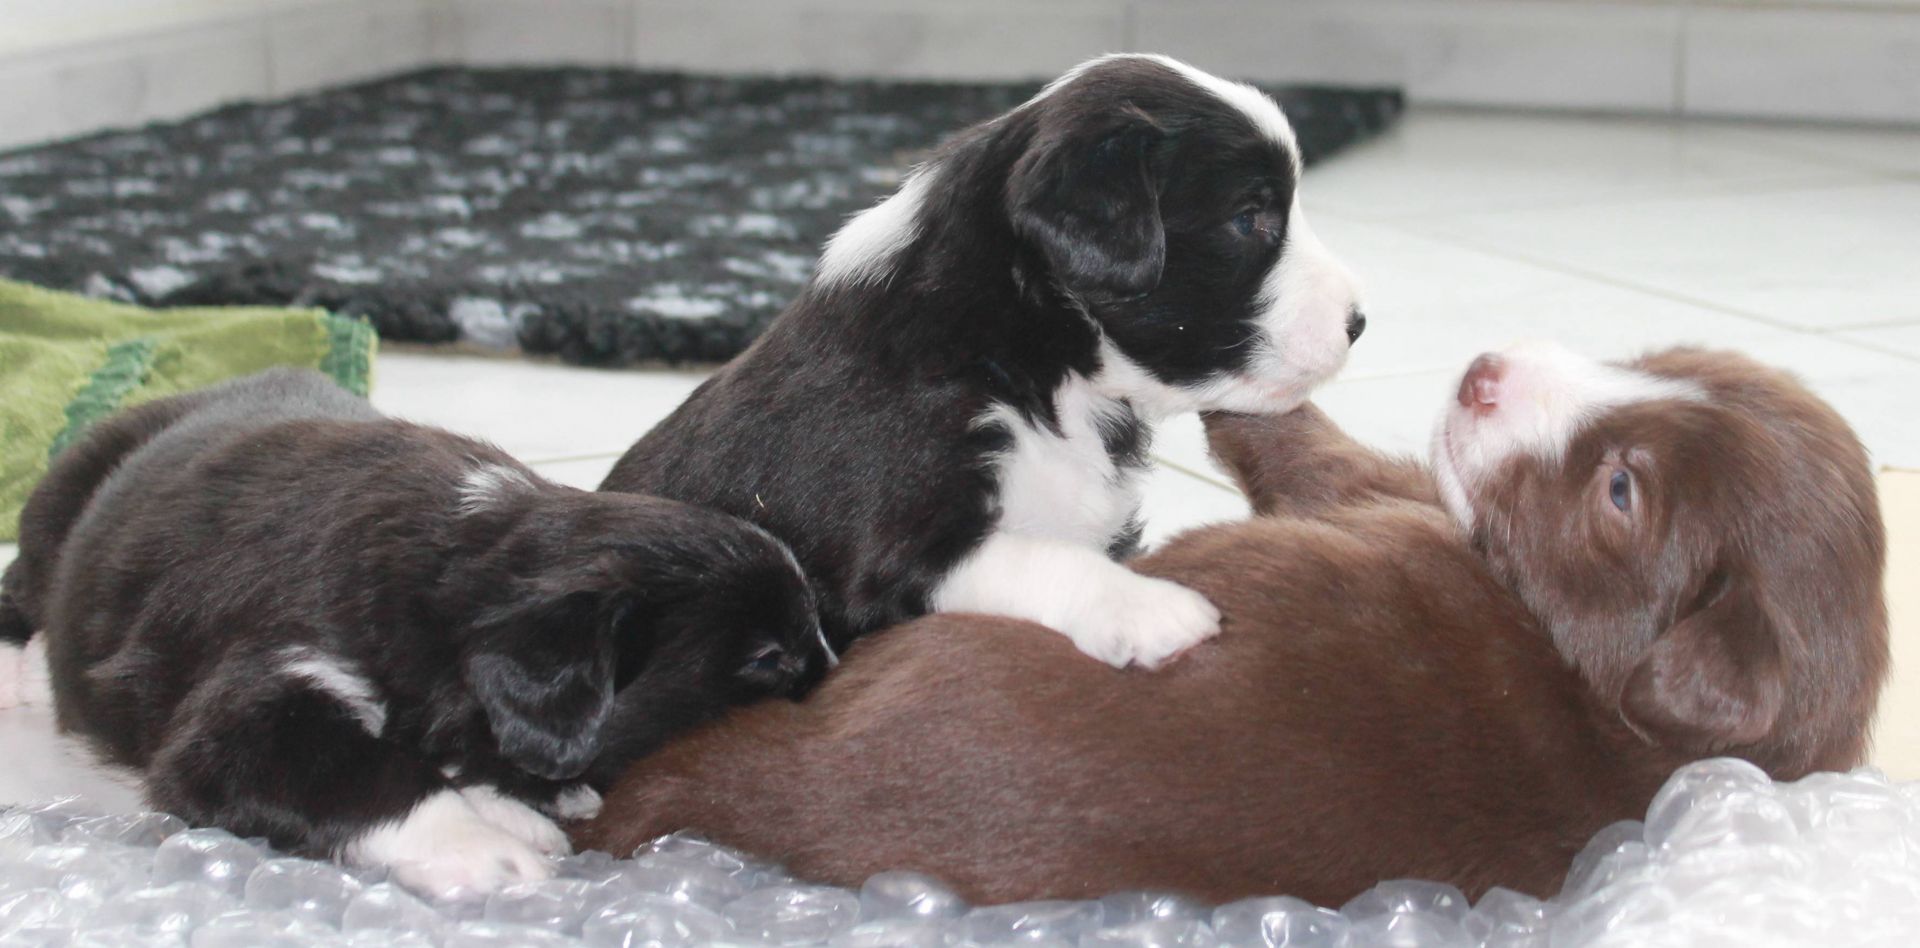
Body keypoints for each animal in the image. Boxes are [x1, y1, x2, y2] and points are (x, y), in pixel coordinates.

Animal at [0, 368, 831, 897]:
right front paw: (488, 850)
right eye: (766, 657)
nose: (840, 677)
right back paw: (24, 673)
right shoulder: (258, 704)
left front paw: (512, 804)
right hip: (61, 497)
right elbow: (360, 770)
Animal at [576, 345, 1889, 905]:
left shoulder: (1393, 500)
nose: (1481, 366)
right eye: (1657, 357)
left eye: (1622, 490)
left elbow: (1317, 452)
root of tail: (789, 794)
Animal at [601, 54, 1366, 669]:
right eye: (1250, 218)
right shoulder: (891, 550)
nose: (1359, 323)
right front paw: (1152, 609)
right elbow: (1038, 557)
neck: (1031, 362)